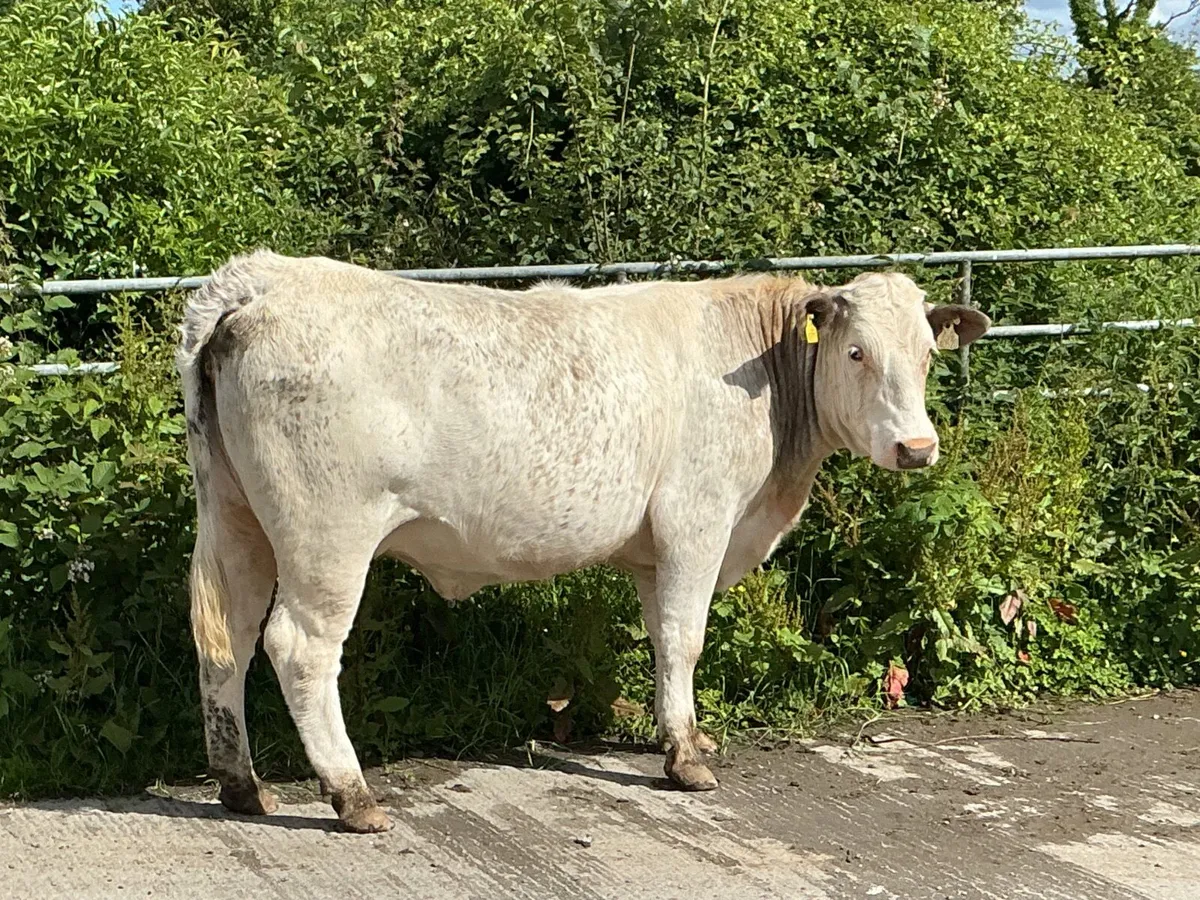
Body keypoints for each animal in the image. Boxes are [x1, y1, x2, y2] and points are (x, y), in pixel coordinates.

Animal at [176, 251, 989, 833]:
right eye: (855, 353)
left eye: (927, 354)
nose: (917, 447)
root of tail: (260, 280)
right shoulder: (697, 522)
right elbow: (687, 638)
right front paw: (686, 759)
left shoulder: (653, 550)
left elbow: (661, 639)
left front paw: (679, 737)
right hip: (327, 538)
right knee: (299, 649)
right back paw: (352, 796)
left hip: (237, 517)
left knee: (226, 640)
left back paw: (242, 786)